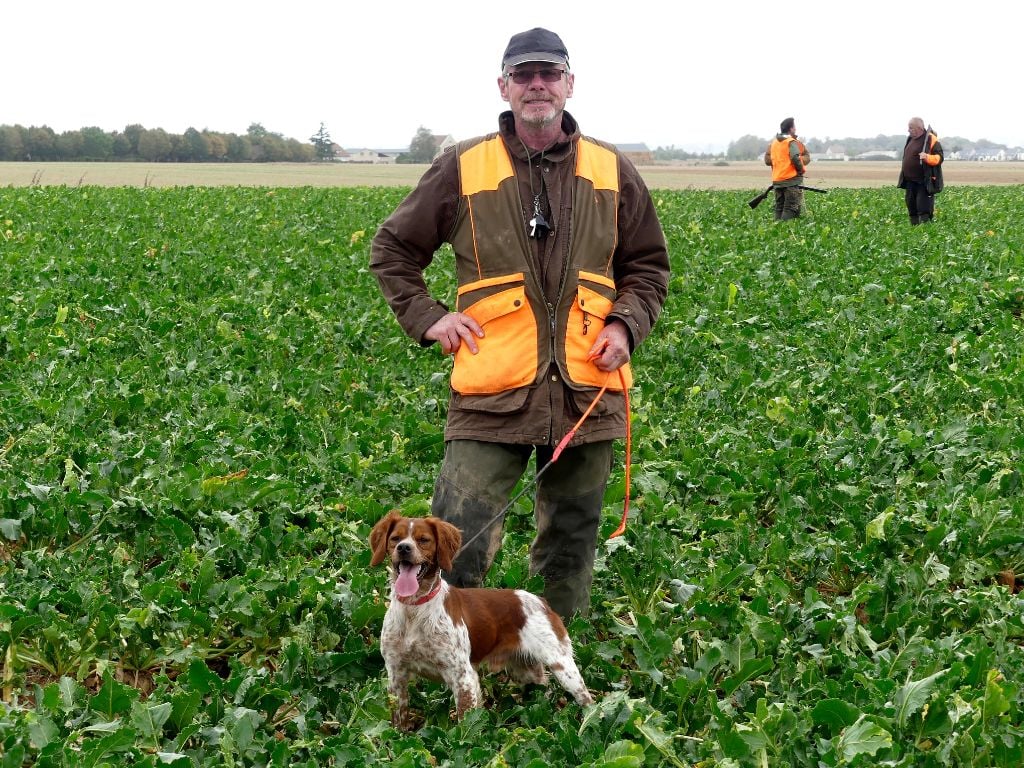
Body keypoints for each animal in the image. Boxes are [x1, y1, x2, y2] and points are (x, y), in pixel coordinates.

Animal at [368, 507, 593, 729]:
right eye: (395, 538)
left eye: (423, 540)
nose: (404, 548)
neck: (414, 609)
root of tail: (540, 600)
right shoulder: (396, 674)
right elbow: (398, 722)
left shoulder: (463, 677)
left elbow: (464, 726)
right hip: (525, 671)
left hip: (563, 666)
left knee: (589, 701)